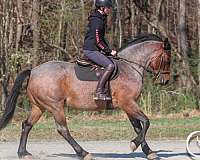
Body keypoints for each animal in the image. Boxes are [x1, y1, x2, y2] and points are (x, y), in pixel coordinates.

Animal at [0, 34, 172, 159]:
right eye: (167, 59)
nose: (165, 81)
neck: (130, 66)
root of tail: (33, 71)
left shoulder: (128, 105)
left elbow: (138, 126)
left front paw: (148, 151)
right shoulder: (128, 103)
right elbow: (146, 122)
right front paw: (134, 144)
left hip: (39, 106)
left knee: (27, 125)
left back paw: (23, 153)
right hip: (55, 106)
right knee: (62, 129)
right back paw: (83, 153)